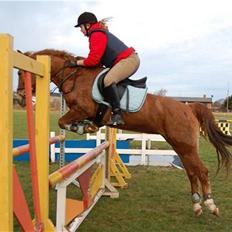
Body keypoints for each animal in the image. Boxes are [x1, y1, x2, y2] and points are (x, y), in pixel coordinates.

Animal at [16, 48, 232, 216]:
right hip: (180, 145)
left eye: (20, 74)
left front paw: (84, 127)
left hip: (185, 145)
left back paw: (210, 205)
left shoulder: (82, 109)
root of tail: (189, 107)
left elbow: (63, 122)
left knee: (202, 171)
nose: (19, 98)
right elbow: (65, 123)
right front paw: (86, 127)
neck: (75, 77)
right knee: (192, 172)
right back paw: (196, 205)